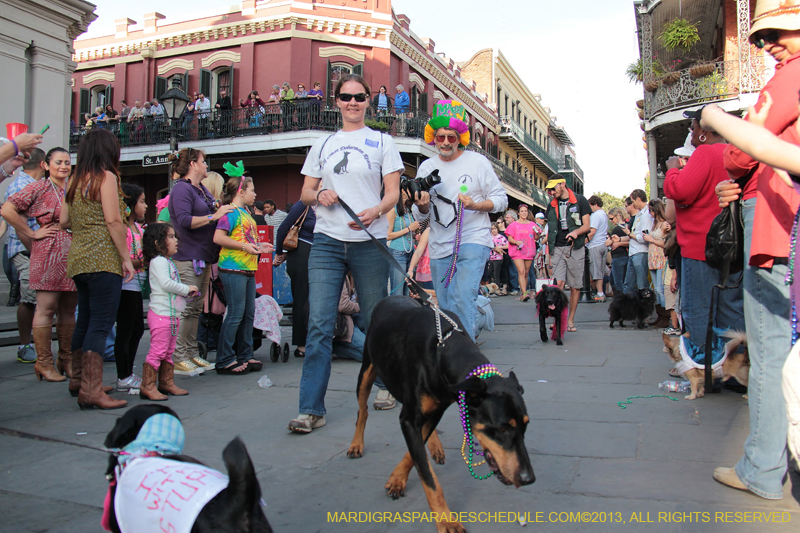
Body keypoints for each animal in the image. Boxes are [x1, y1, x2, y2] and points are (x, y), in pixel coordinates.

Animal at [346, 296, 536, 532]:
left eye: (525, 426)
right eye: (502, 429)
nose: (528, 479)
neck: (442, 349)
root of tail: (392, 296)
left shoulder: (435, 406)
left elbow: (416, 452)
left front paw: (397, 479)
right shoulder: (409, 420)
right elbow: (428, 477)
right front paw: (447, 521)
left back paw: (435, 447)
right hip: (367, 369)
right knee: (362, 411)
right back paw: (356, 444)